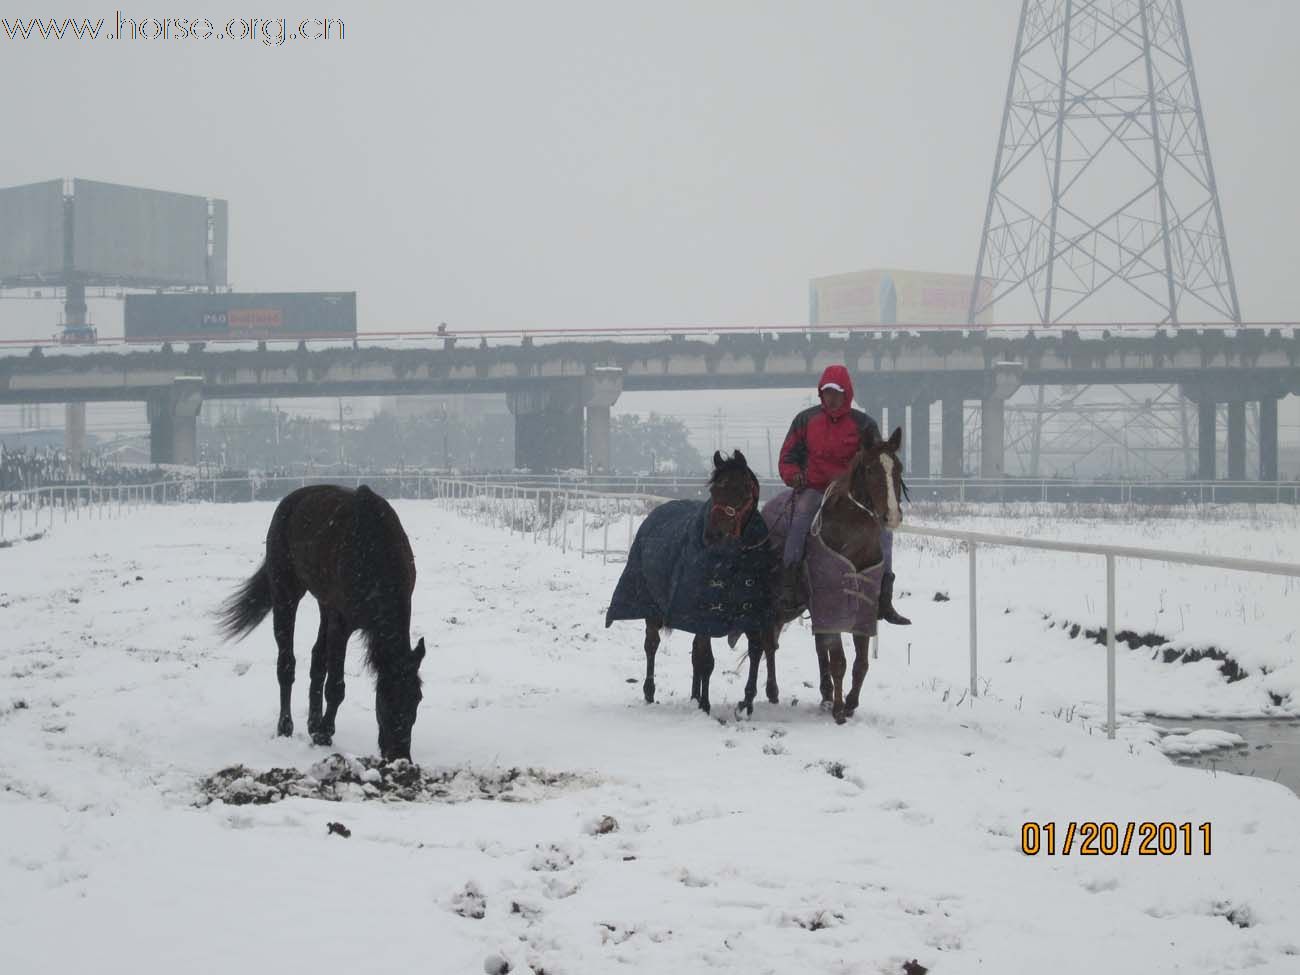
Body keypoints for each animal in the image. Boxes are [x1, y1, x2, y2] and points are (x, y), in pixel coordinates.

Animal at [218, 486, 426, 764]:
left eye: (417, 698)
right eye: (385, 695)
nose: (400, 756)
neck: (374, 549)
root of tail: (291, 500)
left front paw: (320, 728)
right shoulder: (342, 624)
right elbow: (336, 686)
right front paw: (324, 734)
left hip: (324, 605)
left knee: (317, 658)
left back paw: (312, 722)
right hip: (286, 595)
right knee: (287, 663)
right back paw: (286, 726)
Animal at [743, 428, 904, 728]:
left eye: (897, 468)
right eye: (870, 468)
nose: (891, 516)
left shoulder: (861, 609)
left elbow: (860, 663)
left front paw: (849, 702)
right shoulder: (830, 603)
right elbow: (839, 659)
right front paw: (840, 710)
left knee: (810, 647)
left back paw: (821, 694)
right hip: (774, 604)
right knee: (767, 644)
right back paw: (771, 691)